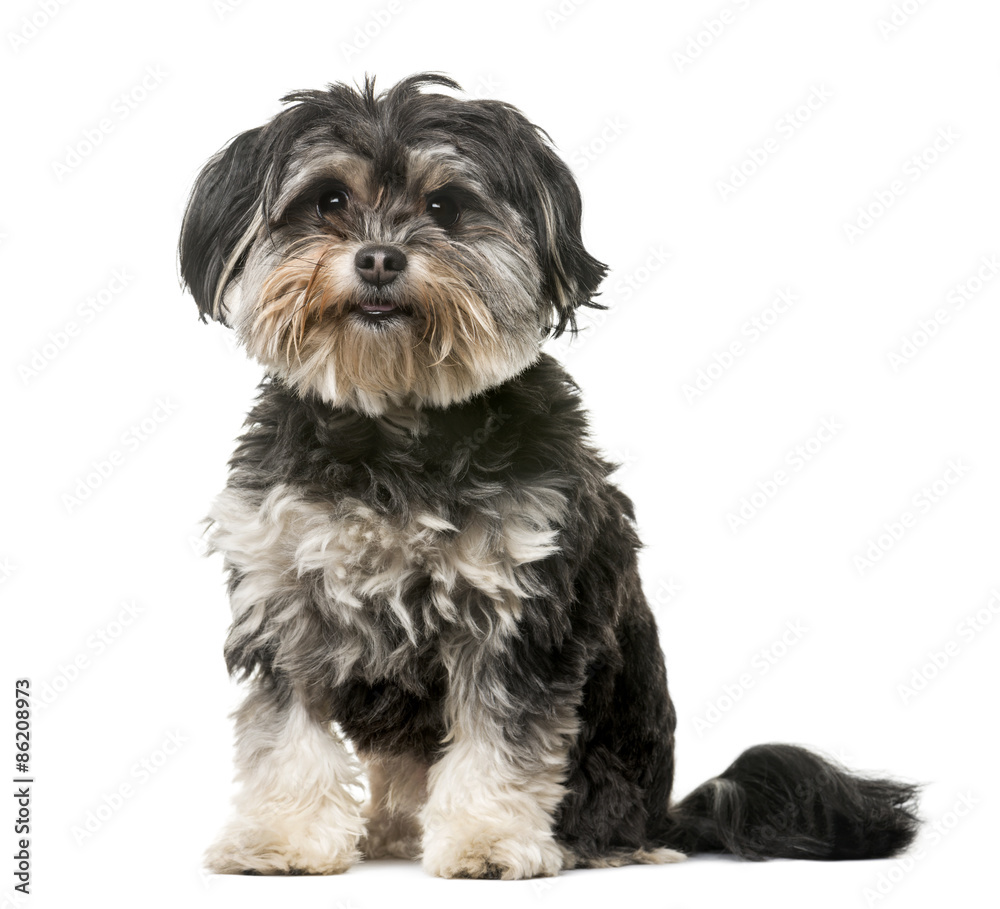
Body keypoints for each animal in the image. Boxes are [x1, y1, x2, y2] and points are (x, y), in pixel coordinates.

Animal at [176, 74, 916, 876]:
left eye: (444, 206)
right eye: (329, 200)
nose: (377, 258)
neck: (396, 423)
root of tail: (664, 812)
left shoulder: (520, 611)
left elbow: (503, 741)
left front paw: (488, 839)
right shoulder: (285, 598)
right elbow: (285, 736)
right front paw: (281, 837)